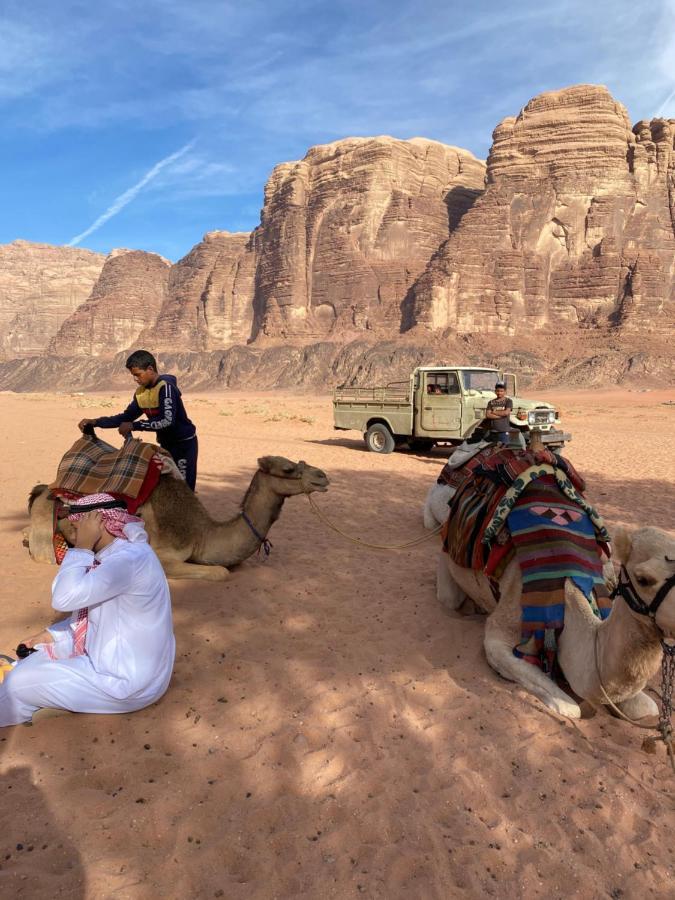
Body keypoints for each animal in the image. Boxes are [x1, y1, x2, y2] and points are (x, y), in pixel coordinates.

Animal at [26, 458, 330, 584]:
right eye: (288, 469)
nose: (323, 476)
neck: (202, 533)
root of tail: (42, 490)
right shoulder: (165, 554)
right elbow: (221, 572)